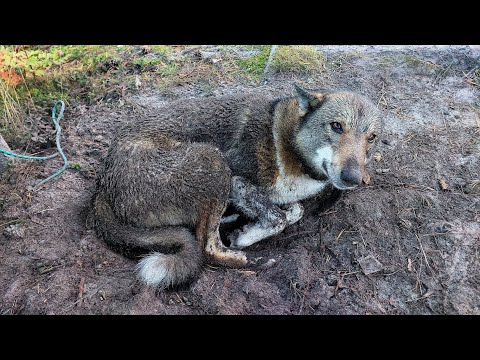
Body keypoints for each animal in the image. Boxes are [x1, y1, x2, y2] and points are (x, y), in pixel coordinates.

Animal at [92, 84, 380, 290]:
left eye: (372, 137)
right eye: (336, 126)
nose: (353, 178)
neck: (289, 144)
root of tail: (103, 186)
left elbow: (294, 211)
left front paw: (250, 227)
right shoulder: (235, 179)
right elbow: (277, 217)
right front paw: (246, 236)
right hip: (212, 160)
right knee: (207, 249)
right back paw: (251, 260)